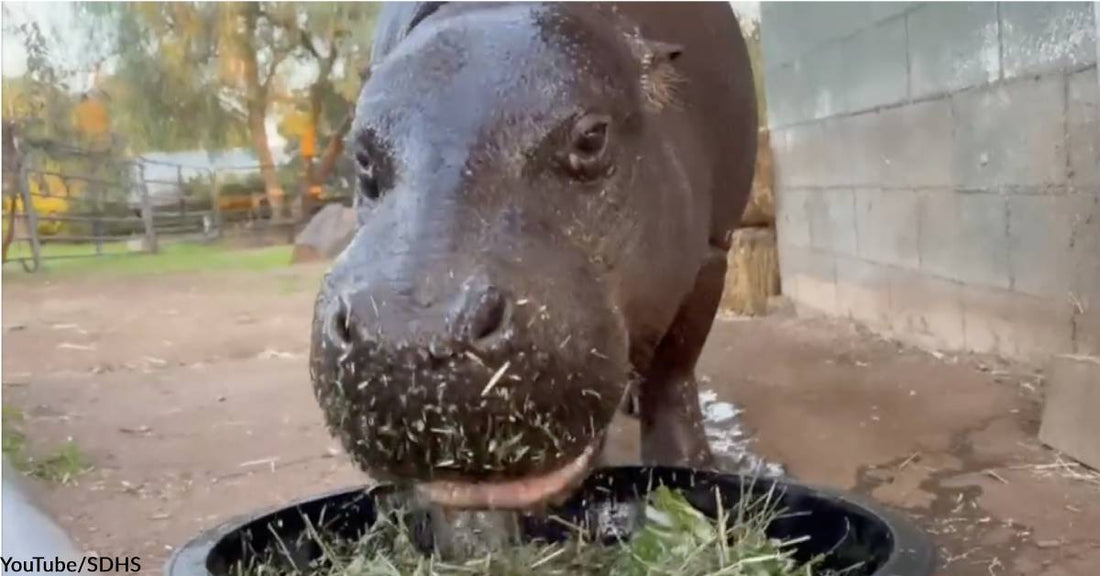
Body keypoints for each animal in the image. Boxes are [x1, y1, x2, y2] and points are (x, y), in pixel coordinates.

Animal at [310, 2, 756, 510]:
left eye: (592, 137)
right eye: (361, 156)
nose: (403, 337)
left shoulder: (712, 253)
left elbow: (674, 366)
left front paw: (689, 469)